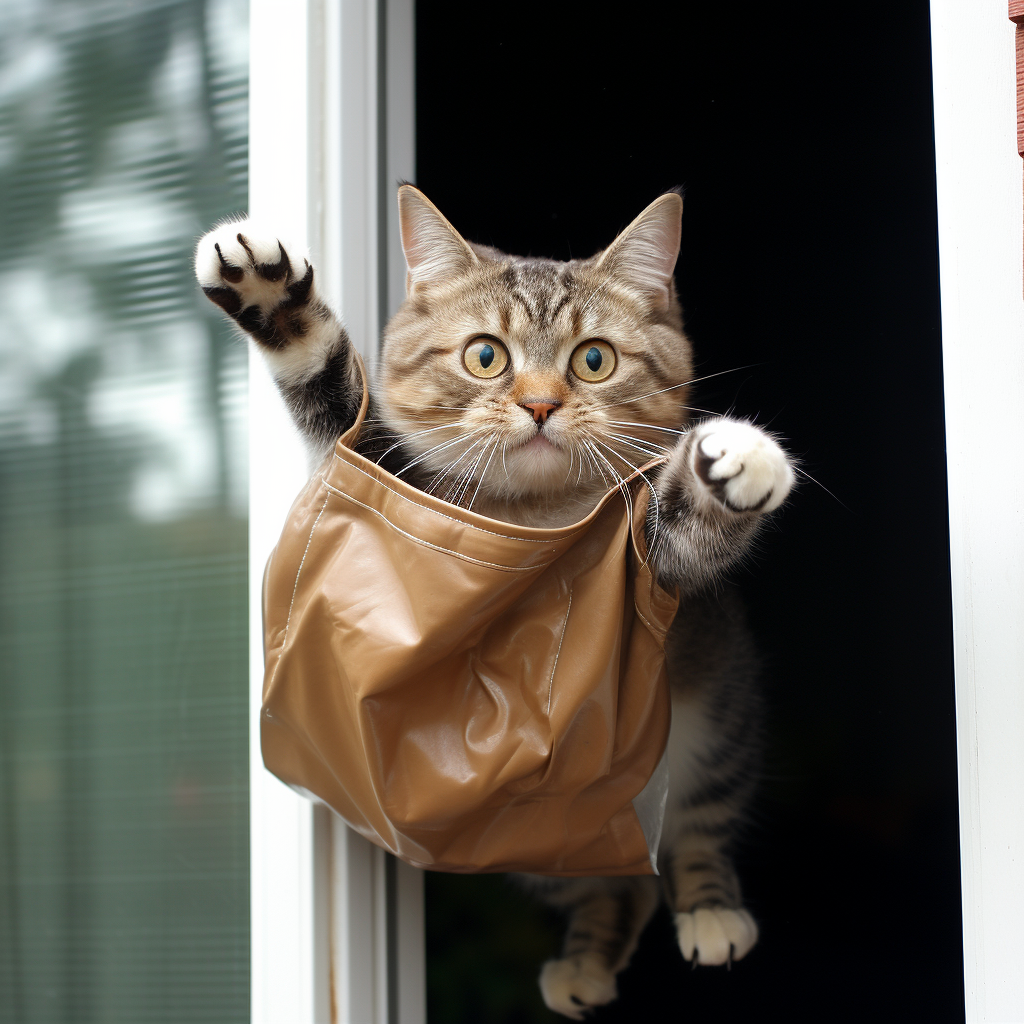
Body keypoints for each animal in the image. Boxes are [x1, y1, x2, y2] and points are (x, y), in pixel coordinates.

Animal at [195, 184, 794, 1015]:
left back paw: (710, 911)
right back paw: (585, 965)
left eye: (594, 359)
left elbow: (694, 523)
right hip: (539, 849)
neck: (533, 512)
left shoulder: (661, 561)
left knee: (698, 834)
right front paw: (268, 291)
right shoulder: (384, 461)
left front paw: (736, 460)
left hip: (718, 727)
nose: (541, 406)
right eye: (485, 354)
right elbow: (334, 392)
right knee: (618, 892)